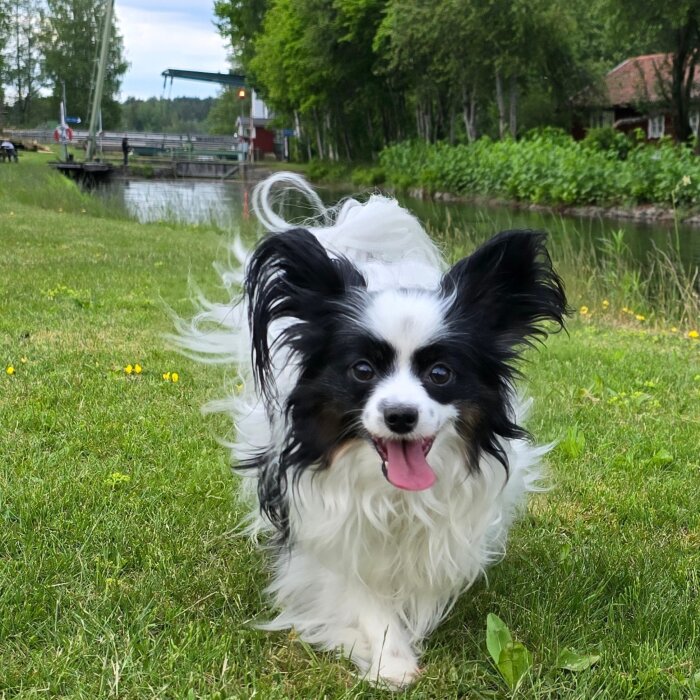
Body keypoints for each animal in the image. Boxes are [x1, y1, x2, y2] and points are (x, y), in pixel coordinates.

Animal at [176, 174, 568, 688]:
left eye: (440, 374)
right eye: (362, 370)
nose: (401, 416)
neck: (394, 494)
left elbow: (424, 575)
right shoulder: (325, 521)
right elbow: (356, 589)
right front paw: (390, 657)